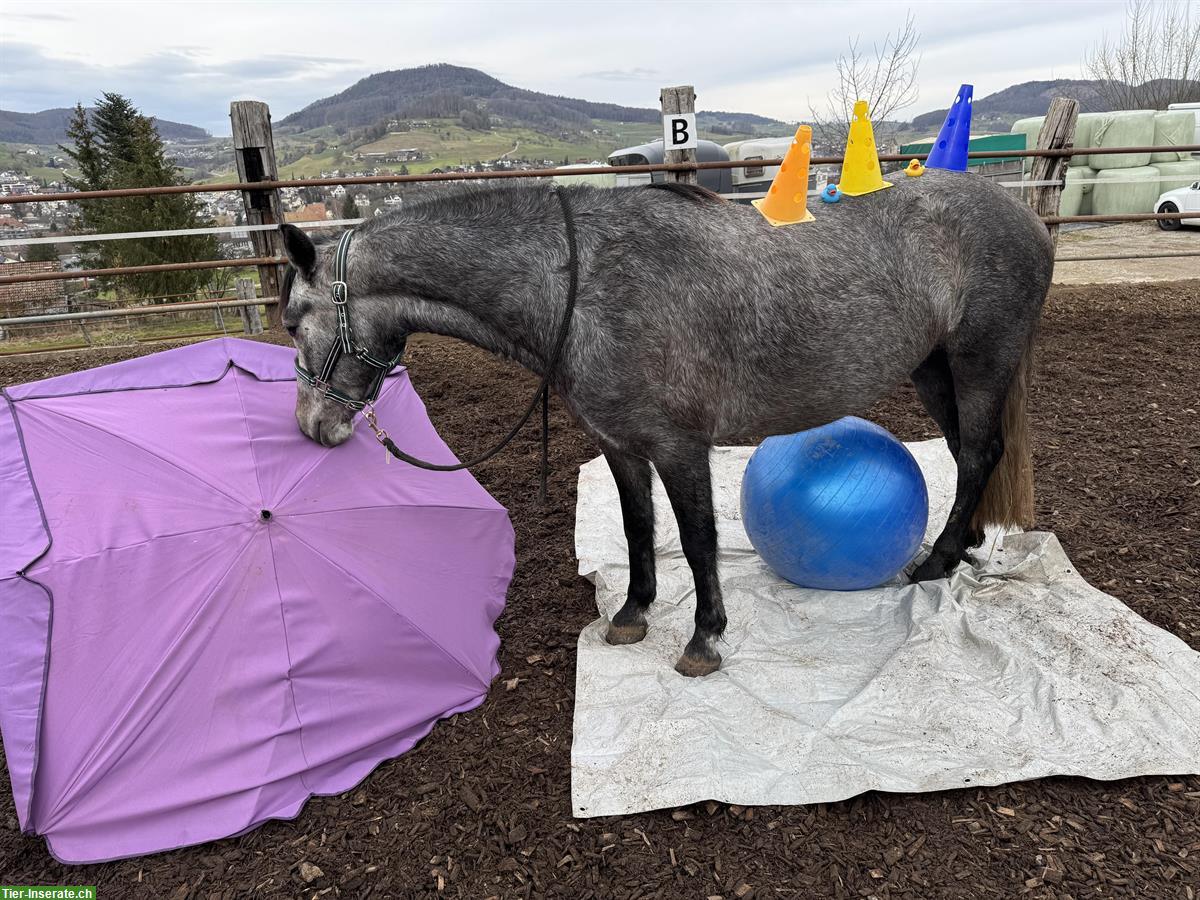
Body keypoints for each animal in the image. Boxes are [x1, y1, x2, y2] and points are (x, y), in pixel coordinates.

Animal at [278, 172, 1051, 676]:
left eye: (291, 322)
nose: (313, 427)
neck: (580, 284)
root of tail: (1029, 219)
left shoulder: (681, 447)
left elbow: (698, 539)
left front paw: (705, 639)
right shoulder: (619, 444)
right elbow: (638, 527)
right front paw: (632, 613)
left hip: (979, 365)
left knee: (977, 452)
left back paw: (938, 559)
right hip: (934, 369)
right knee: (968, 451)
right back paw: (960, 546)